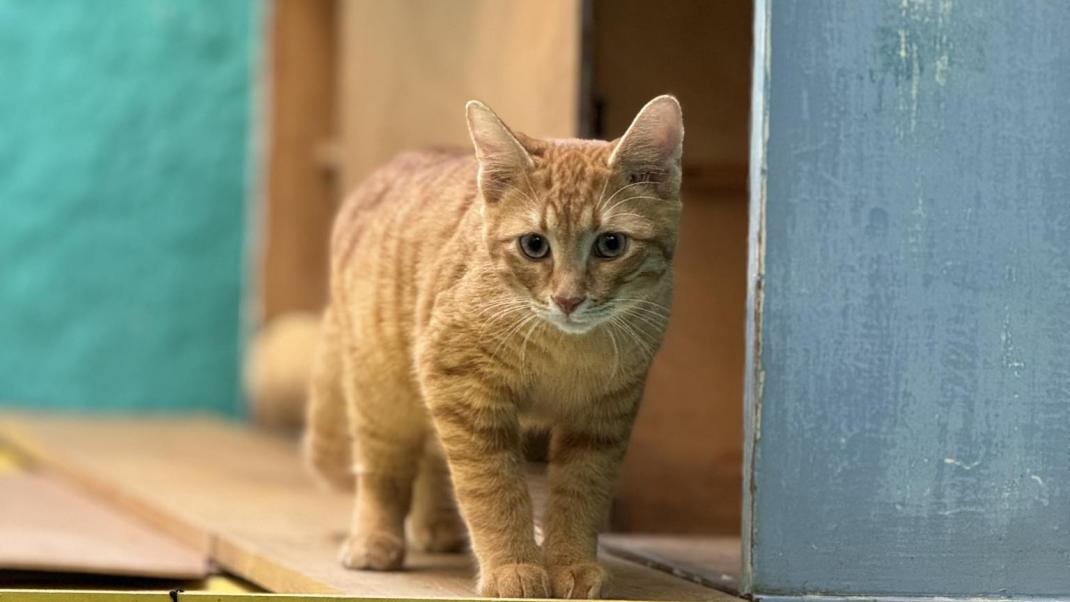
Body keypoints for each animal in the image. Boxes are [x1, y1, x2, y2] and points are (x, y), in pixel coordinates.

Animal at [306, 95, 680, 598]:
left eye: (611, 244)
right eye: (534, 245)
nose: (568, 299)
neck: (565, 349)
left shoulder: (602, 417)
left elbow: (582, 491)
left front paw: (571, 563)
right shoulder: (463, 389)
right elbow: (493, 489)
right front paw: (513, 566)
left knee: (433, 457)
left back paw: (439, 526)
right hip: (382, 392)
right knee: (383, 471)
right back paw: (375, 539)